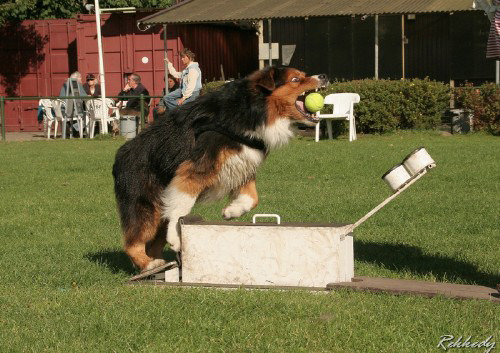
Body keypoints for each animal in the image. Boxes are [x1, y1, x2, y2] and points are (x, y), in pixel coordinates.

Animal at [112, 65, 328, 270]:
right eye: (295, 79)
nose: (324, 76)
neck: (252, 110)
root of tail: (120, 156)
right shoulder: (194, 169)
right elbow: (182, 205)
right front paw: (175, 236)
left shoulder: (242, 164)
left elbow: (253, 198)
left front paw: (232, 211)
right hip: (146, 205)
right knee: (133, 242)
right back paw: (149, 264)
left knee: (153, 243)